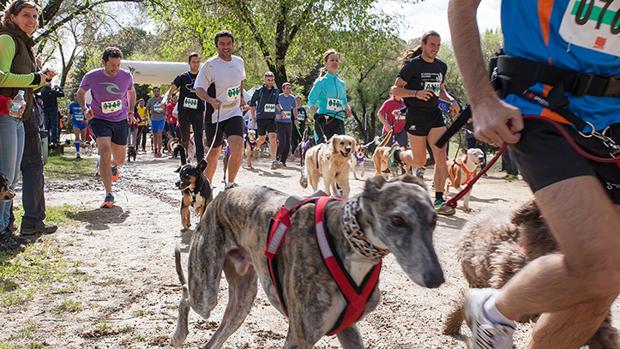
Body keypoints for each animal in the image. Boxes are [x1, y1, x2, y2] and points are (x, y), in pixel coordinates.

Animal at [171, 175, 446, 346]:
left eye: (434, 220)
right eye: (397, 220)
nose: (436, 279)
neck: (344, 235)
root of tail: (223, 195)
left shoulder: (347, 328)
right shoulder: (300, 335)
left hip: (241, 301)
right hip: (206, 292)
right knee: (186, 295)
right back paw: (178, 335)